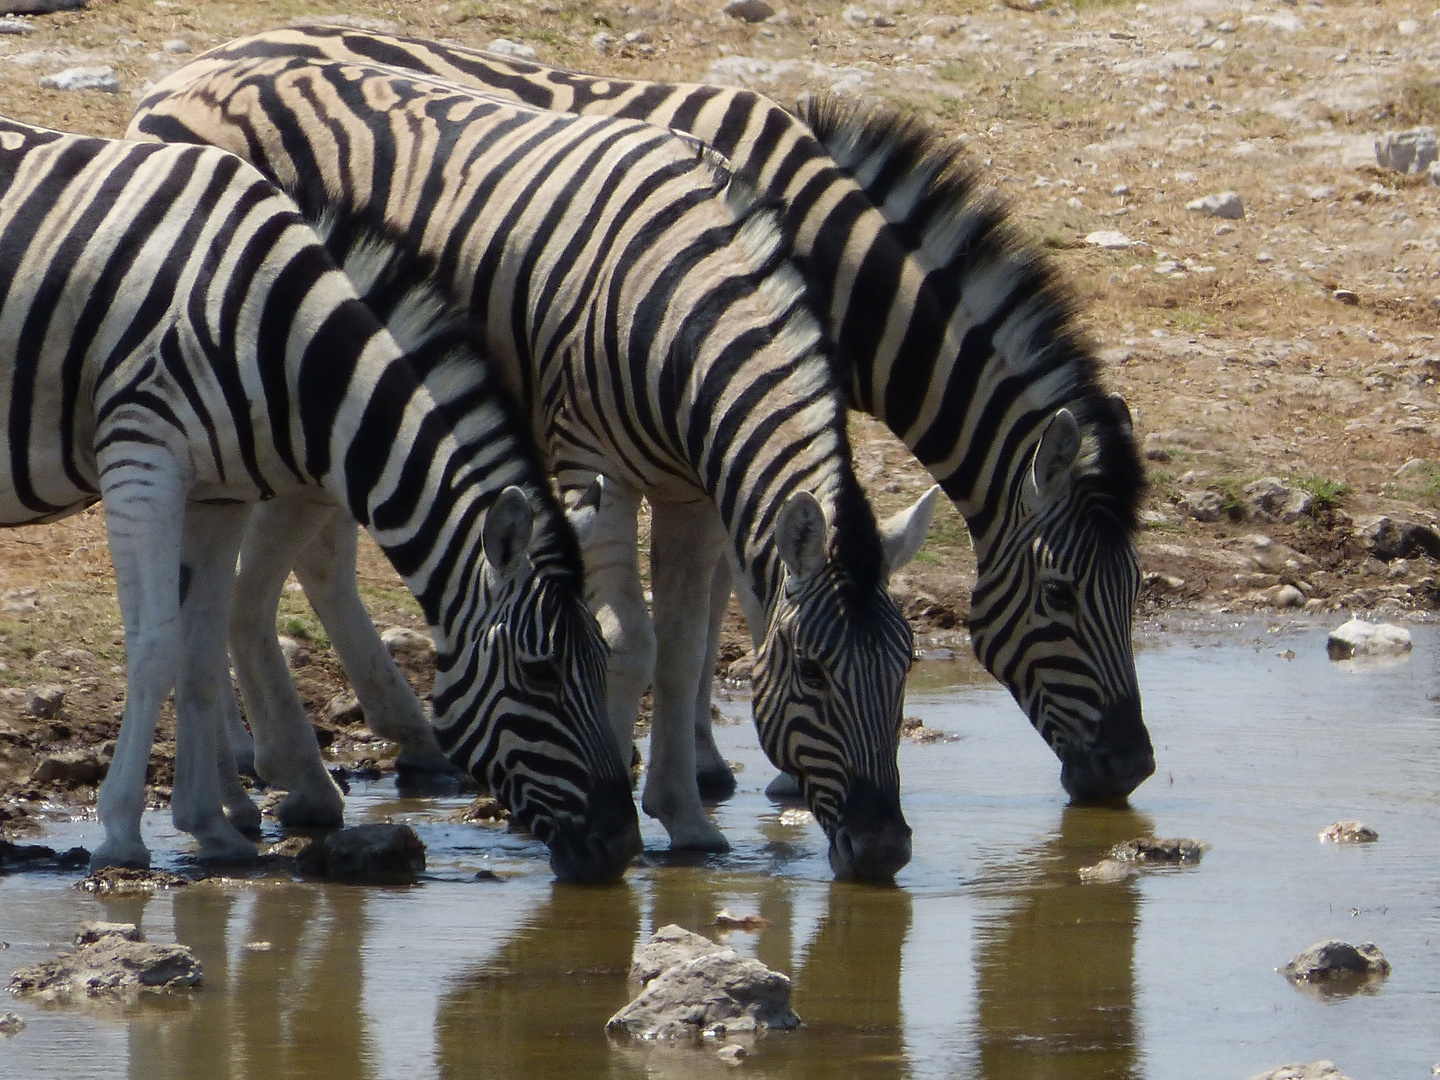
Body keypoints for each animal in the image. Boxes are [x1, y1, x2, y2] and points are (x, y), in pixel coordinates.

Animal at [0, 114, 636, 881]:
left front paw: (211, 827)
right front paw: (124, 831)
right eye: (540, 675)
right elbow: (156, 645)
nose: (621, 846)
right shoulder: (141, 454)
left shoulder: (218, 493)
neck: (272, 335)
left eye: (602, 664)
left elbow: (199, 650)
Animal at [132, 50, 933, 881]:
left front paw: (686, 817)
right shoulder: (593, 466)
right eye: (813, 673)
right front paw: (625, 788)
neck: (683, 314)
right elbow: (631, 643)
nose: (884, 847)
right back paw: (250, 790)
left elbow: (683, 648)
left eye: (908, 666)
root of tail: (198, 69)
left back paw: (280, 785)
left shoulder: (690, 493)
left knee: (249, 583)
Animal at [182, 25, 1157, 806]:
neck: (819, 248)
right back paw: (253, 750)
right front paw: (729, 763)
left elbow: (715, 591)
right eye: (1063, 595)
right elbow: (732, 595)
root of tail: (211, 58)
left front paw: (704, 761)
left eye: (1134, 592)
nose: (1133, 768)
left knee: (304, 550)